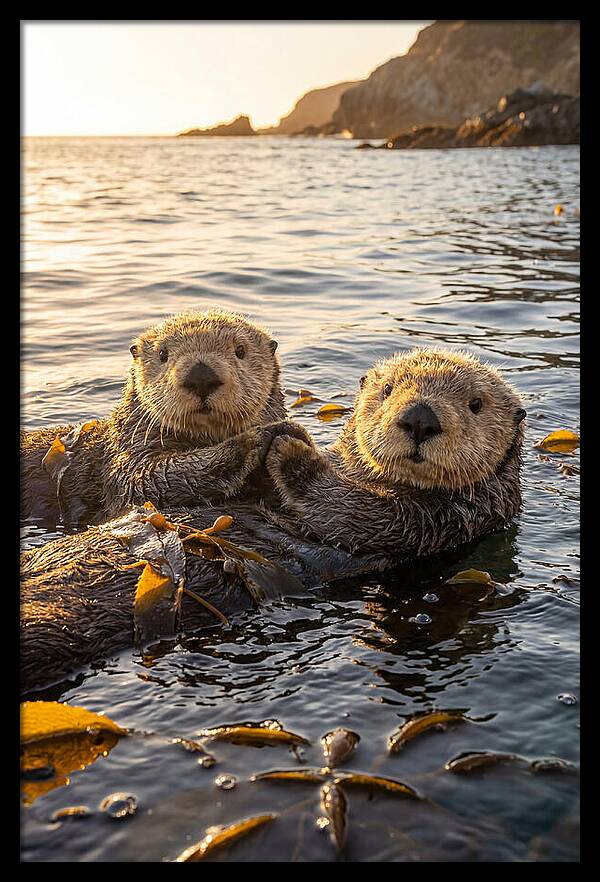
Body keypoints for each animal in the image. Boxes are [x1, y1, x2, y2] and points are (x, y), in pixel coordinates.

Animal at [20, 308, 287, 526]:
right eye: (162, 353)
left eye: (240, 350)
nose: (201, 376)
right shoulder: (127, 456)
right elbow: (147, 479)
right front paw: (257, 438)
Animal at [21, 348, 526, 694]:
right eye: (387, 391)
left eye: (476, 404)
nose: (420, 418)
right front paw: (273, 435)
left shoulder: (439, 521)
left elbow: (348, 510)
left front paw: (289, 448)